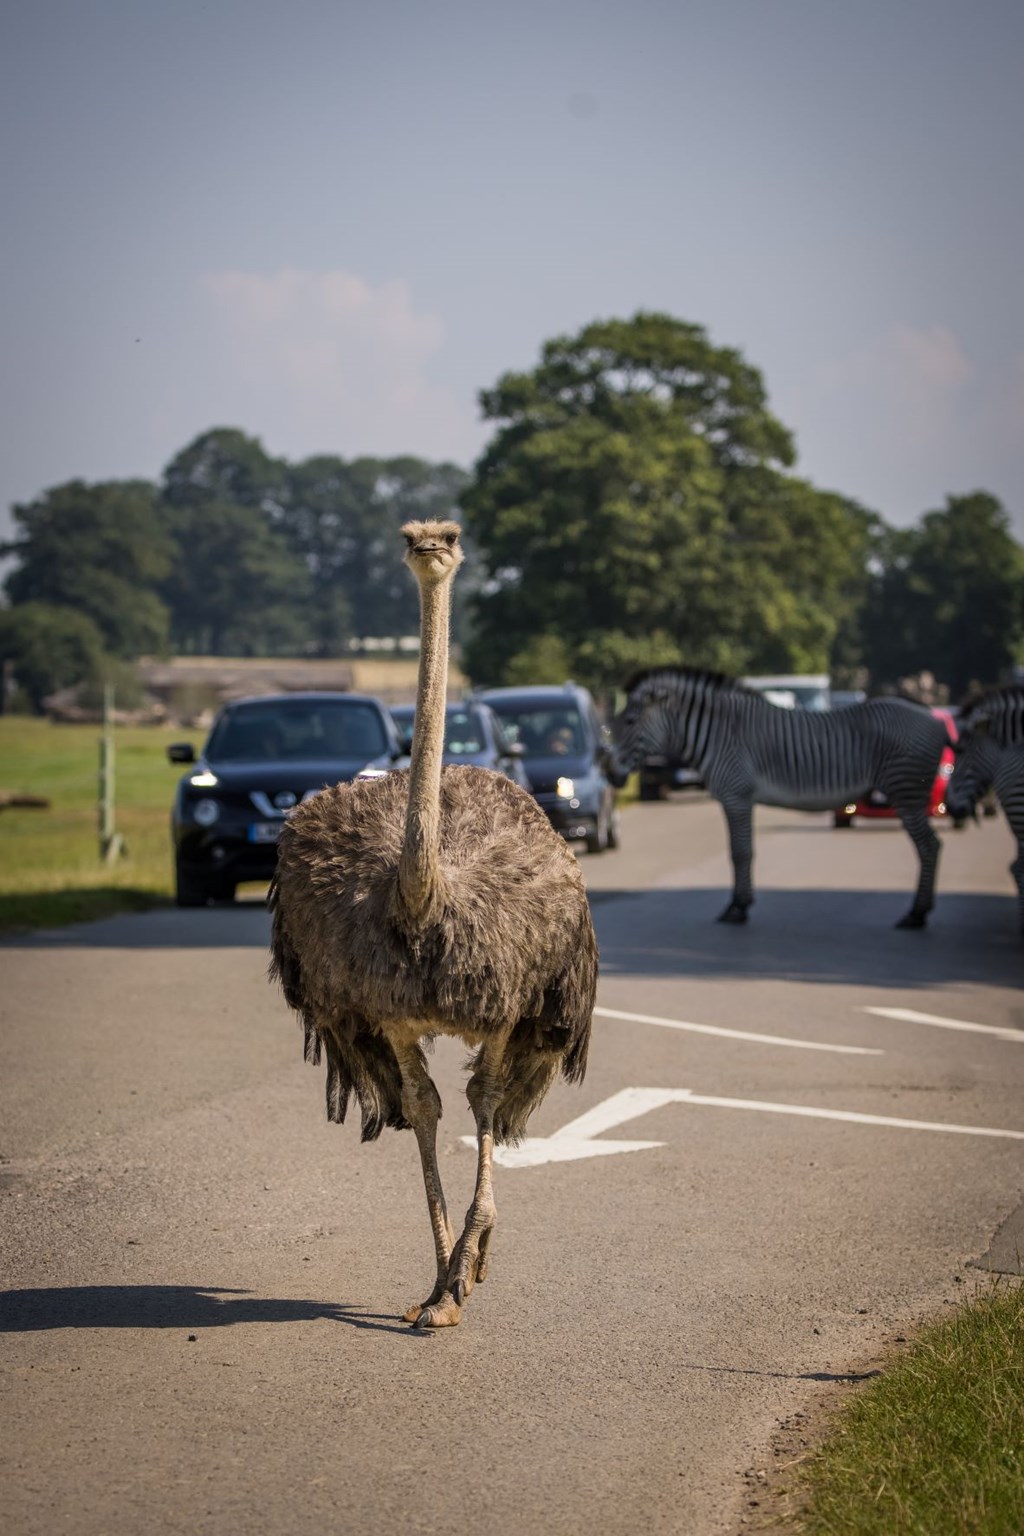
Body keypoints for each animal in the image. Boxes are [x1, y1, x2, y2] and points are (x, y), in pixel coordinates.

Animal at [614, 669, 951, 921]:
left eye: (629, 721)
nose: (609, 769)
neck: (720, 732)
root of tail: (934, 719)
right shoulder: (740, 797)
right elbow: (744, 850)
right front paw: (742, 904)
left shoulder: (736, 794)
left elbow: (740, 852)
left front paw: (736, 909)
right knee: (930, 845)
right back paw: (919, 912)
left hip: (906, 788)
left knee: (929, 846)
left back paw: (916, 914)